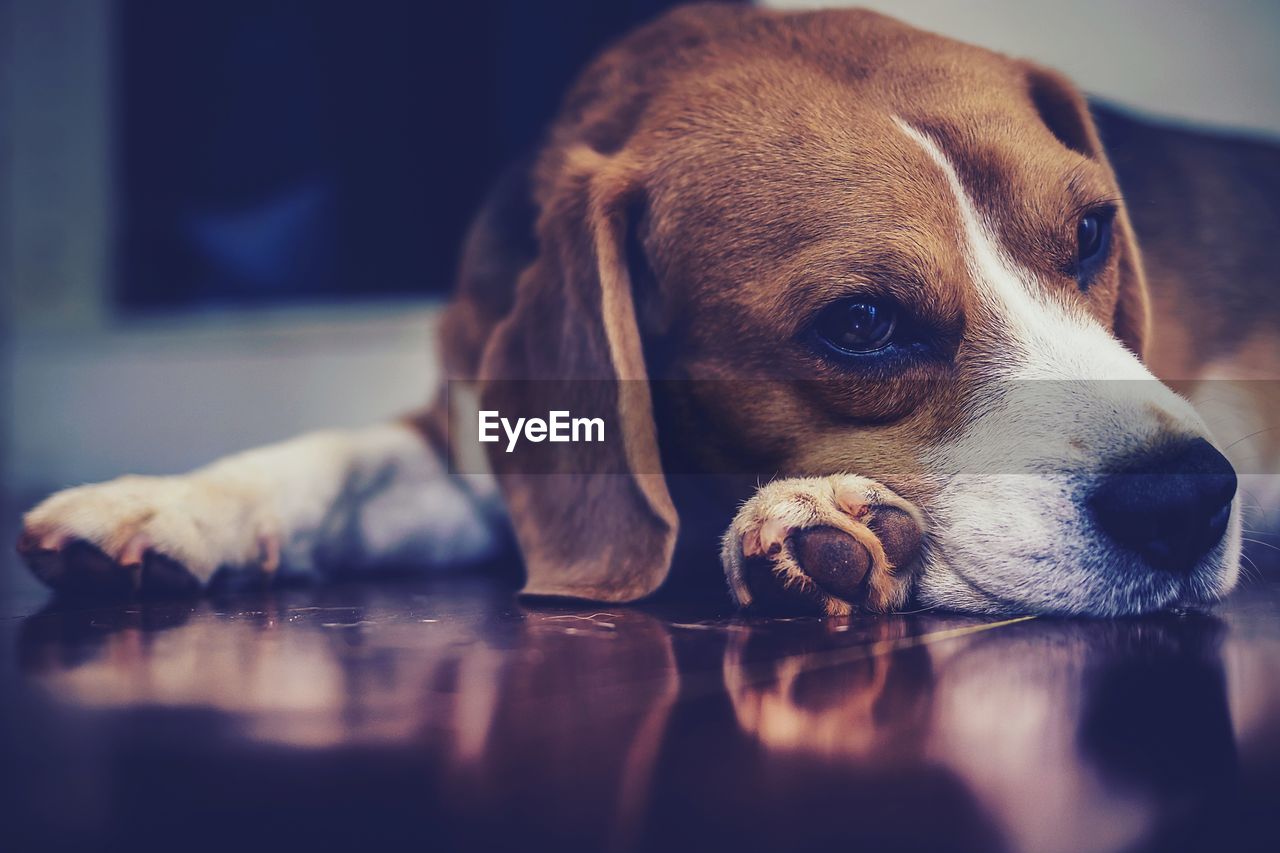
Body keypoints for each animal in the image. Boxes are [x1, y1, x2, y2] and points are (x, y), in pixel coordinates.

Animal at [15, 8, 1274, 617]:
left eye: (1090, 233)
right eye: (862, 322)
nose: (1183, 500)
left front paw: (809, 517)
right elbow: (333, 457)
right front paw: (170, 504)